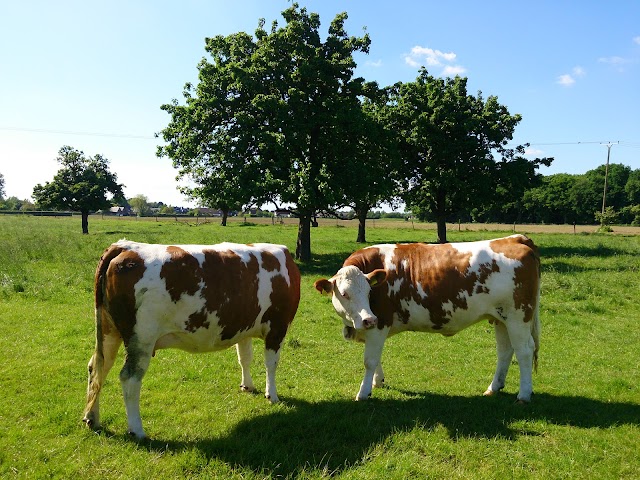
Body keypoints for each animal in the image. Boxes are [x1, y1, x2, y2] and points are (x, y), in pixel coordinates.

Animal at [84, 240, 302, 438]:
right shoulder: (278, 326)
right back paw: (137, 430)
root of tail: (126, 246)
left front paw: (247, 386)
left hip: (108, 331)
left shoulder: (244, 327)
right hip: (141, 338)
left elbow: (245, 358)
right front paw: (272, 395)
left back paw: (92, 417)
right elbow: (271, 364)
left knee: (98, 367)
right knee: (129, 378)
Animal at [316, 234, 540, 404]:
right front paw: (377, 382)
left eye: (369, 291)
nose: (368, 319)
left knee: (524, 350)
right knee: (505, 351)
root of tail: (514, 238)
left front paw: (363, 393)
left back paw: (523, 395)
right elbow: (376, 358)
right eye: (344, 294)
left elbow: (369, 360)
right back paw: (494, 388)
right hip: (501, 318)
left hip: (518, 316)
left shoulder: (379, 324)